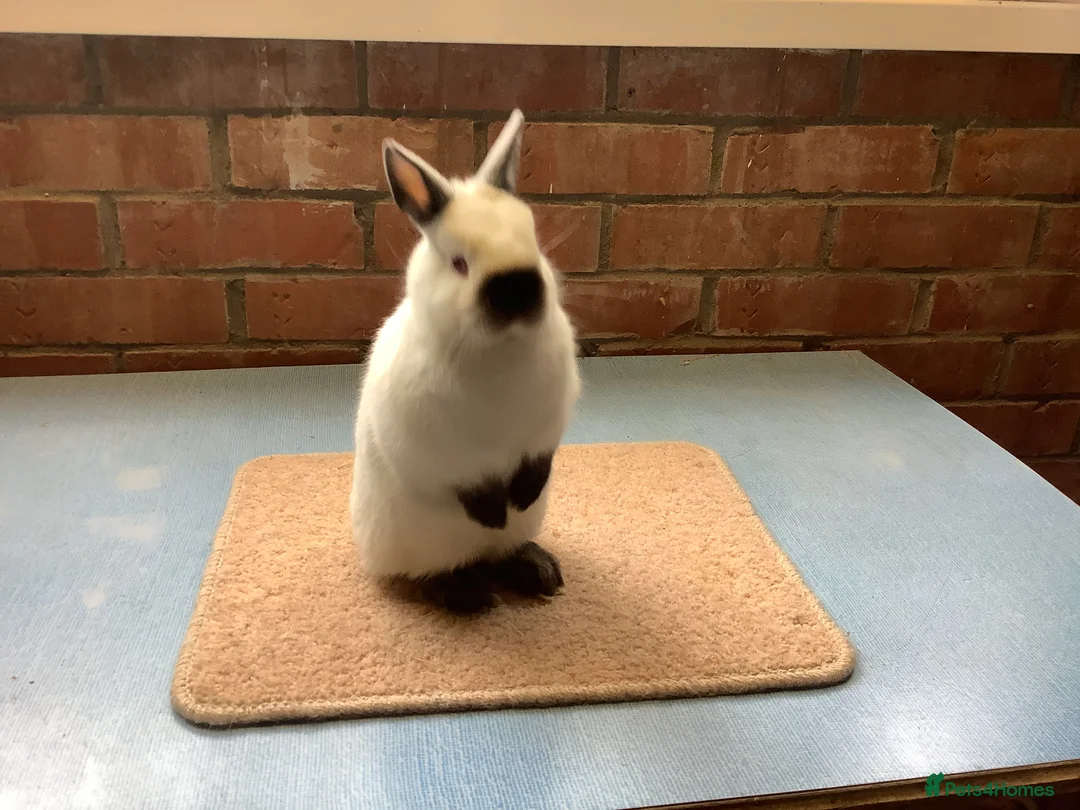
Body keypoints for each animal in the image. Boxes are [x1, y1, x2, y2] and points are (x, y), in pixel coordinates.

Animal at [349, 109, 582, 614]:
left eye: (534, 242)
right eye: (459, 264)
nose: (517, 292)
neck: (499, 350)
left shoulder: (547, 427)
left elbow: (538, 460)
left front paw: (522, 494)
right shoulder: (440, 447)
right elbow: (465, 481)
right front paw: (492, 510)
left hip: (518, 530)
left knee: (501, 552)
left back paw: (538, 571)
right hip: (418, 543)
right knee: (434, 571)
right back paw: (467, 594)